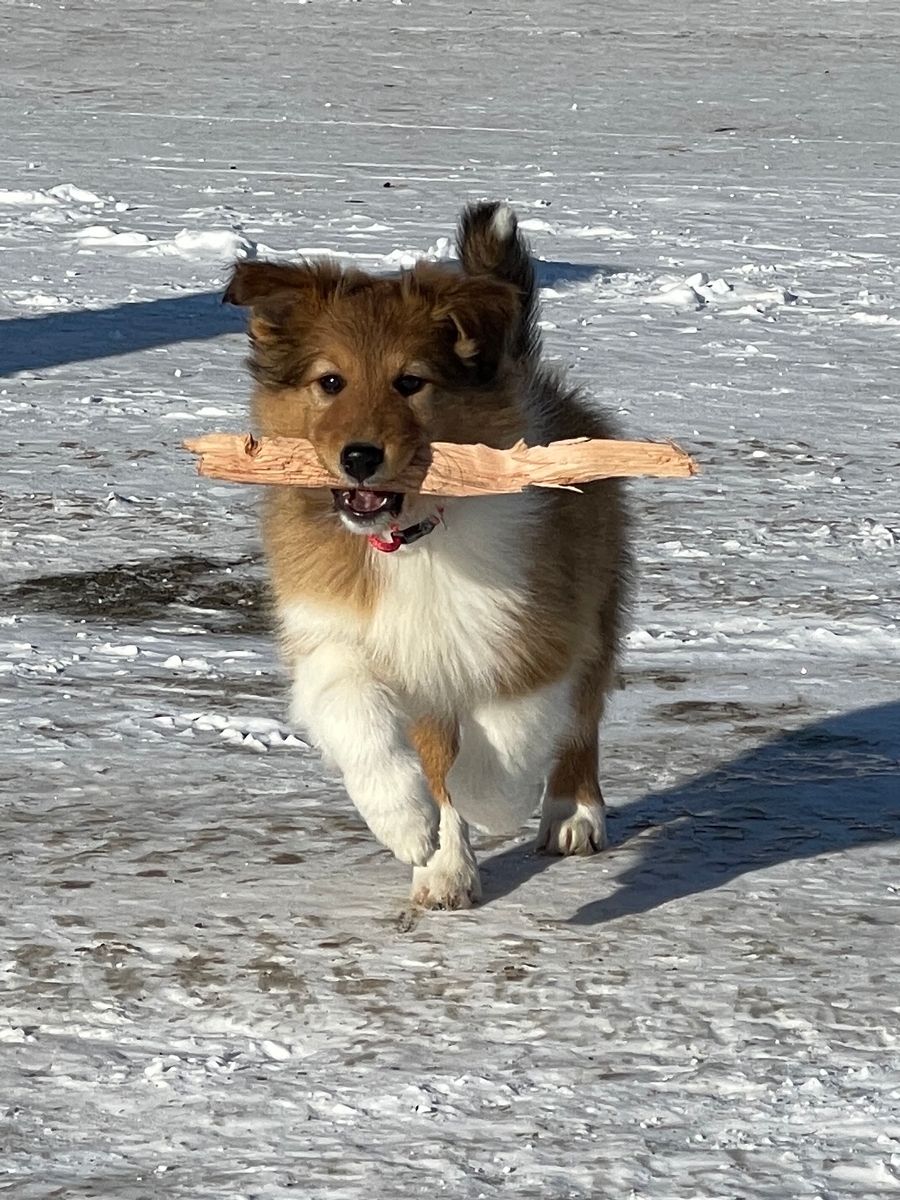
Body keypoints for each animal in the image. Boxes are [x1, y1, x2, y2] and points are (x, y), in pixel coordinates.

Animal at [223, 202, 628, 909]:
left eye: (411, 382)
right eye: (330, 382)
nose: (359, 456)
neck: (410, 540)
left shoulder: (537, 627)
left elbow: (513, 732)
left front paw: (494, 804)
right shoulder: (336, 631)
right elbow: (357, 717)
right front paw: (410, 828)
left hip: (599, 599)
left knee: (582, 714)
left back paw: (571, 813)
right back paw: (444, 868)